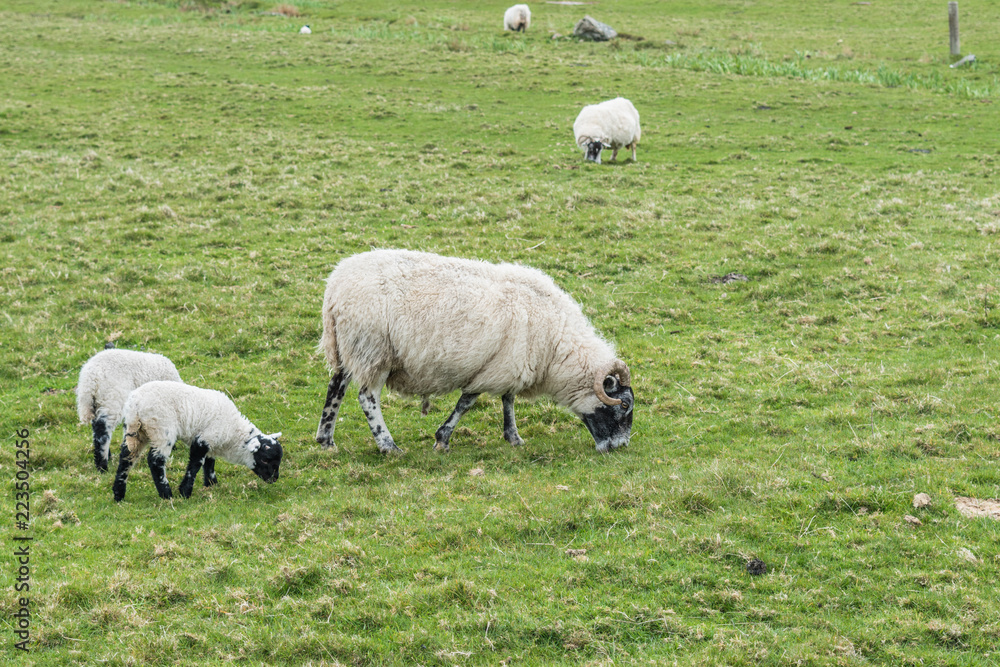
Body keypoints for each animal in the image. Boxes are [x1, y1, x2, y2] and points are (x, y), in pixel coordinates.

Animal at [112, 381, 282, 502]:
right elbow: (196, 464)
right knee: (155, 461)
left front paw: (211, 485)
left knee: (126, 457)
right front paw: (185, 491)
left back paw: (119, 493)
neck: (233, 432)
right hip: (161, 429)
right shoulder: (204, 439)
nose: (275, 479)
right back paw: (167, 494)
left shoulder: (212, 441)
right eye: (265, 459)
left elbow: (210, 462)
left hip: (137, 433)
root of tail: (135, 406)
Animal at [315, 249, 634, 454]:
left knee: (335, 387)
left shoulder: (510, 364)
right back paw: (388, 446)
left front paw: (513, 438)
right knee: (367, 398)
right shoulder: (494, 368)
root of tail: (334, 289)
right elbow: (467, 402)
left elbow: (507, 401)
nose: (621, 447)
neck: (559, 347)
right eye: (624, 406)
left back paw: (326, 440)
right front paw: (442, 439)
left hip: (350, 347)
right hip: (373, 350)